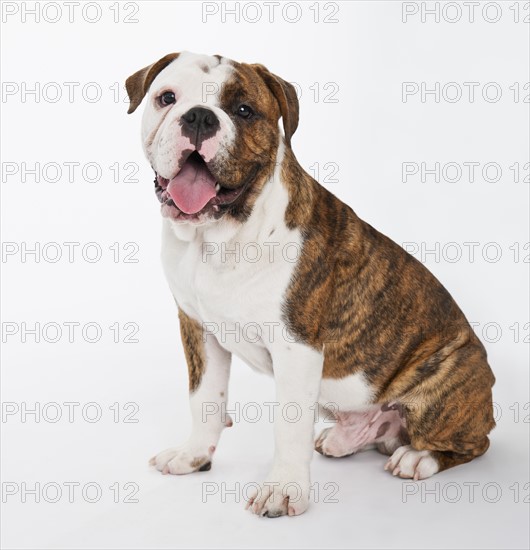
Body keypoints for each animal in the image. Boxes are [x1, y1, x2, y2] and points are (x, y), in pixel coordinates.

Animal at [126, 50, 492, 516]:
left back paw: (417, 457)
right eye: (167, 98)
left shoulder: (296, 347)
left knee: (472, 443)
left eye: (244, 110)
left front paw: (283, 489)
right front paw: (193, 456)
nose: (199, 117)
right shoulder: (199, 330)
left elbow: (288, 424)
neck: (217, 239)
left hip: (451, 379)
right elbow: (205, 399)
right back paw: (346, 437)